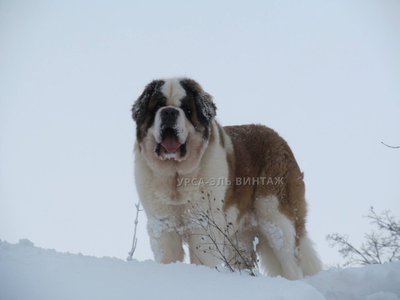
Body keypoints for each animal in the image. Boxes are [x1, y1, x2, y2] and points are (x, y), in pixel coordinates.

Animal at [132, 78, 322, 278]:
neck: (176, 175)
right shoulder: (163, 225)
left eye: (186, 109)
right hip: (239, 239)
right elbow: (167, 254)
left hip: (277, 218)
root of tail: (280, 139)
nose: (169, 111)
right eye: (157, 106)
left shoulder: (203, 225)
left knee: (291, 261)